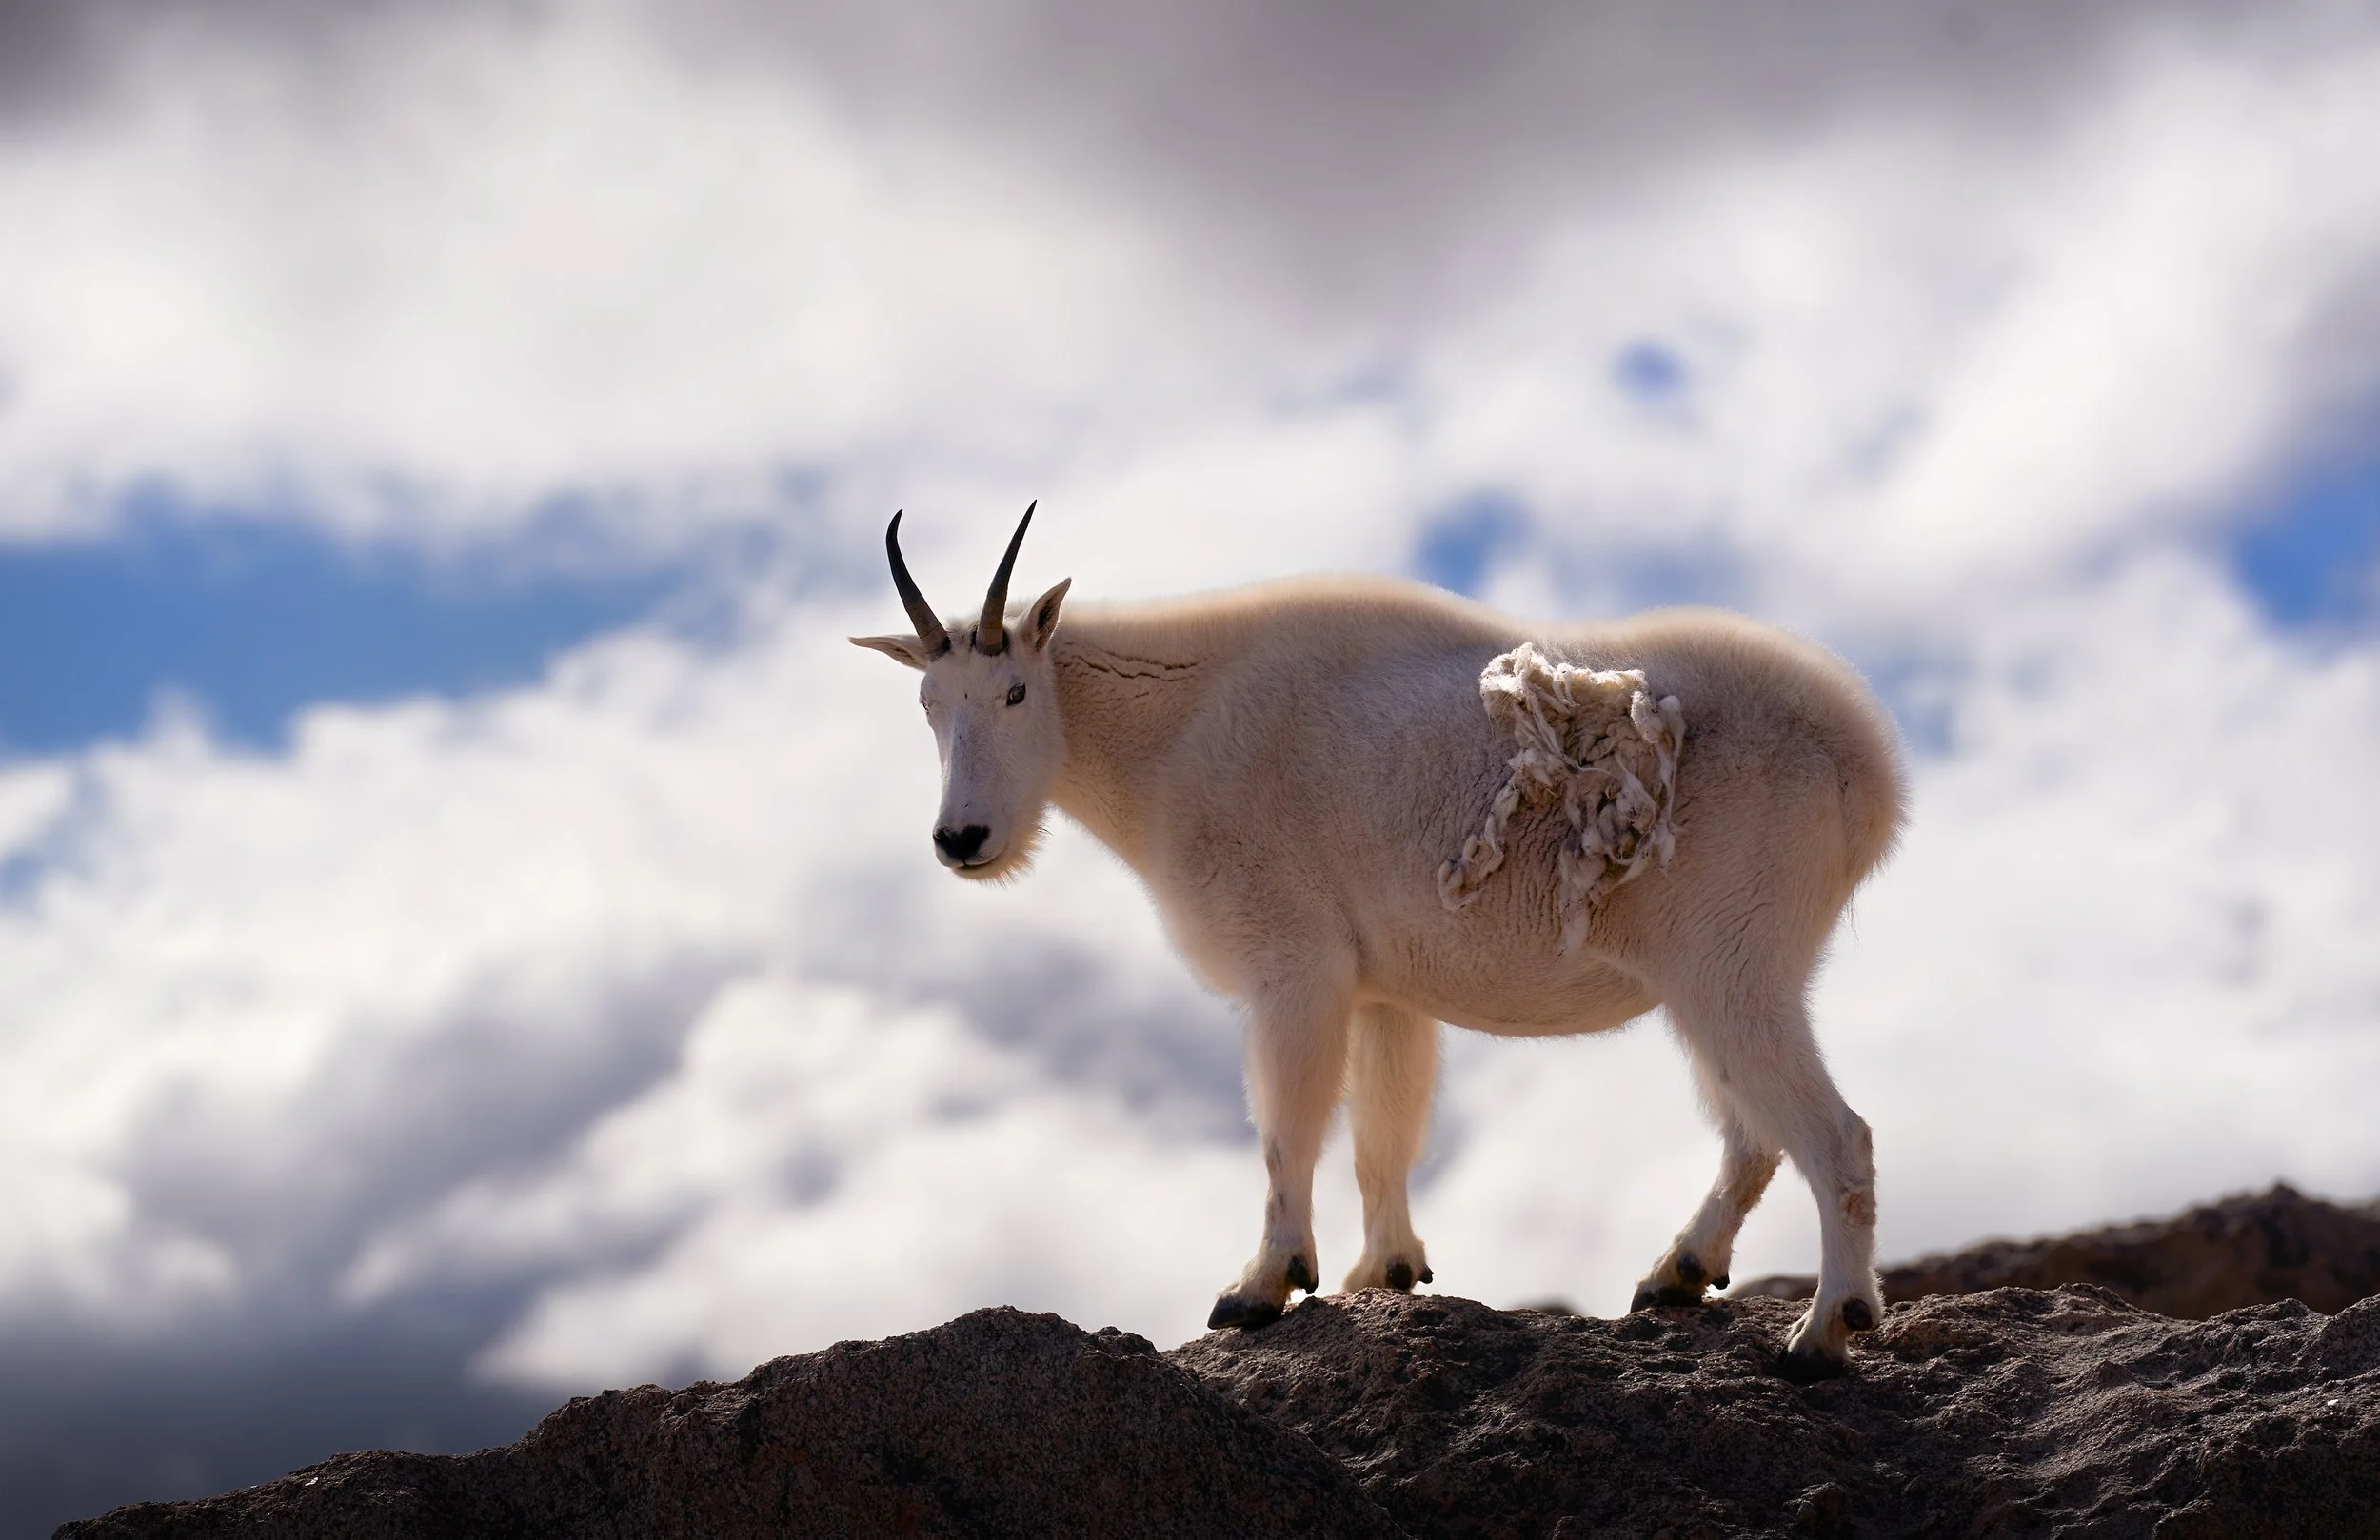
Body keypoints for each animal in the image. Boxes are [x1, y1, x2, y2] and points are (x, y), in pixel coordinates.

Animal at [851, 506, 1906, 1374]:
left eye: (1016, 692)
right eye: (929, 705)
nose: (962, 839)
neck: (1167, 736)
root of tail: (1866, 765)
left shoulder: (1293, 967)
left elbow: (1286, 1132)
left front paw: (1259, 1288)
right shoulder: (1382, 989)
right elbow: (1381, 1137)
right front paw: (1382, 1275)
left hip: (1728, 961)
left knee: (1833, 1136)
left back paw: (1823, 1331)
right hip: (1725, 976)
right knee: (1752, 1135)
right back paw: (1677, 1274)